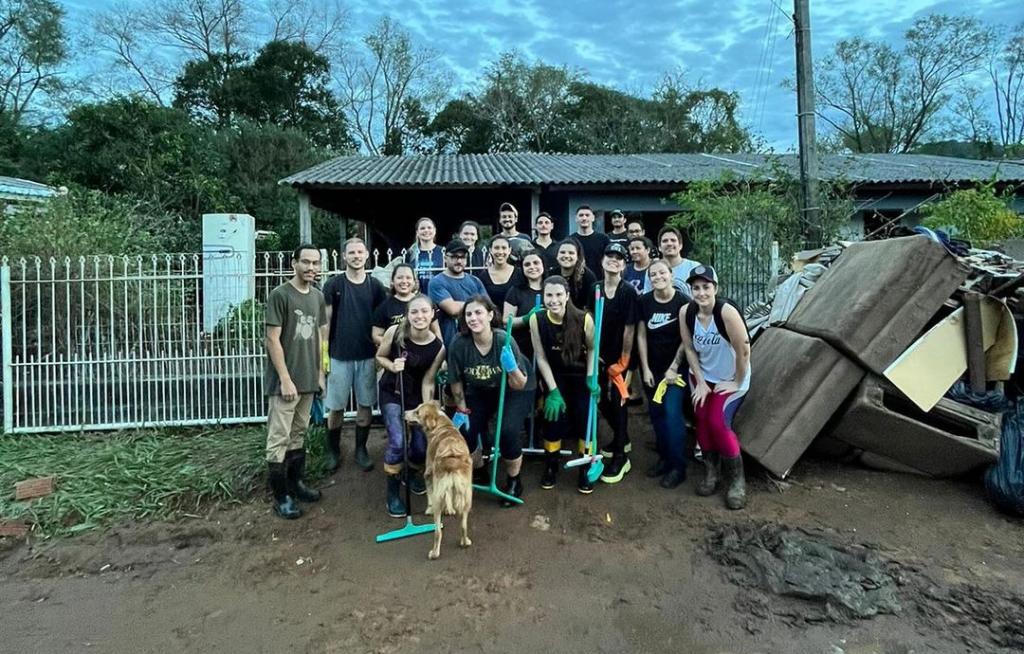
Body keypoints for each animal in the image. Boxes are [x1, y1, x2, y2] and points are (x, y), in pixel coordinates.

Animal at [405, 401, 473, 560]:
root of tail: (452, 460)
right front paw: (450, 509)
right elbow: (449, 496)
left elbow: (429, 496)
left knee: (437, 531)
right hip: (467, 497)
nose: (404, 412)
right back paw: (465, 542)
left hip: (438, 501)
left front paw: (429, 508)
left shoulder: (429, 475)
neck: (442, 425)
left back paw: (434, 553)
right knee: (463, 526)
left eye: (417, 412)